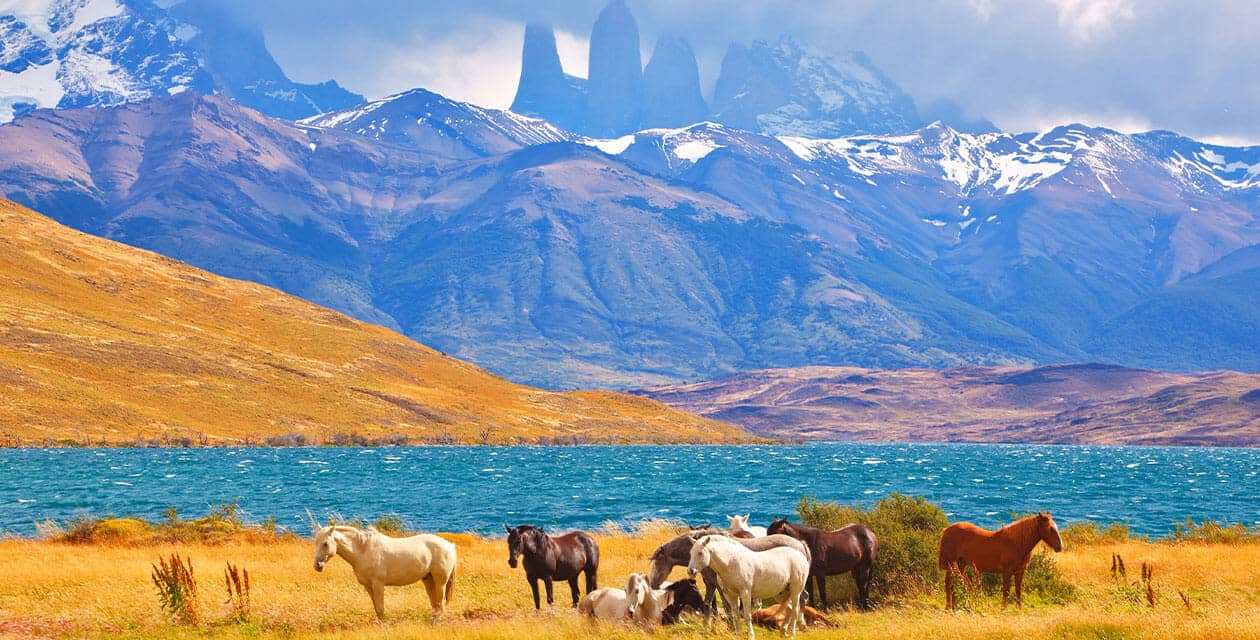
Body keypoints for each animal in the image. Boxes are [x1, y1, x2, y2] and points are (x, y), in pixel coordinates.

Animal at [310, 522, 456, 619]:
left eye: (325, 543)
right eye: (316, 542)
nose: (317, 565)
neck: (364, 550)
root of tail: (449, 545)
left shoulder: (378, 584)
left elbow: (380, 608)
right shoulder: (368, 586)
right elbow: (376, 608)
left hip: (440, 582)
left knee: (440, 602)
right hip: (428, 579)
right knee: (435, 603)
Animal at [648, 529, 811, 623]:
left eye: (658, 561)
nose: (653, 584)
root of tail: (801, 544)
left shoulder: (721, 586)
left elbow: (726, 607)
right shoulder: (711, 584)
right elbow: (708, 605)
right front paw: (707, 626)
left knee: (801, 599)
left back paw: (800, 624)